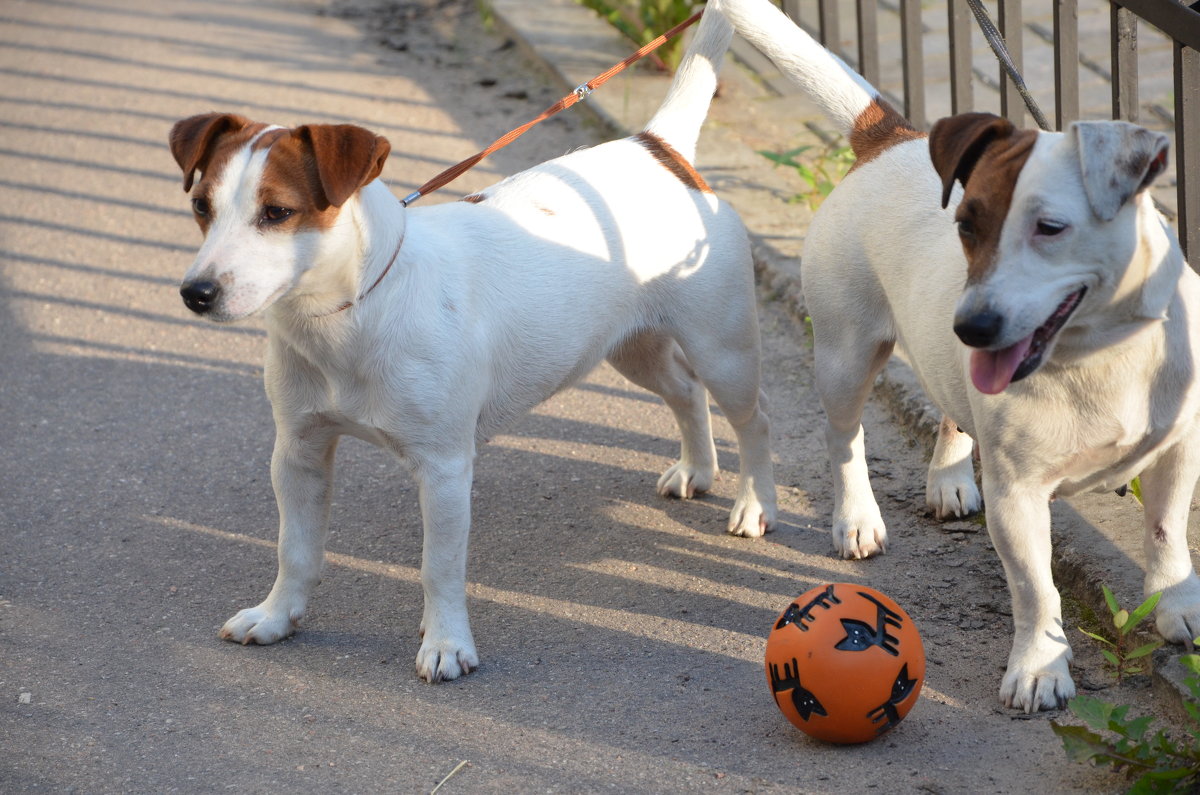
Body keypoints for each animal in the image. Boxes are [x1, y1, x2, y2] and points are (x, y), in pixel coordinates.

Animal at [166, 1, 777, 686]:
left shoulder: (445, 469)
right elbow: (293, 549)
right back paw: (698, 467)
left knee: (753, 420)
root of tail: (658, 145)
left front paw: (446, 645)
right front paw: (276, 616)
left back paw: (755, 504)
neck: (352, 316)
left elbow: (438, 567)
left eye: (276, 212)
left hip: (723, 348)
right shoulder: (298, 451)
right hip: (631, 347)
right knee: (684, 392)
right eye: (201, 206)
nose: (196, 293)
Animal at [720, 0, 1200, 710]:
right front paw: (1039, 668)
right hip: (844, 353)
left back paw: (947, 475)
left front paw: (1176, 606)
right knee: (844, 439)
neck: (1097, 355)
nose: (972, 326)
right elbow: (1036, 589)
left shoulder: (1176, 449)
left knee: (952, 404)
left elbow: (1166, 532)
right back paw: (856, 517)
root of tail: (893, 139)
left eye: (1050, 227)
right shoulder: (1017, 496)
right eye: (966, 225)